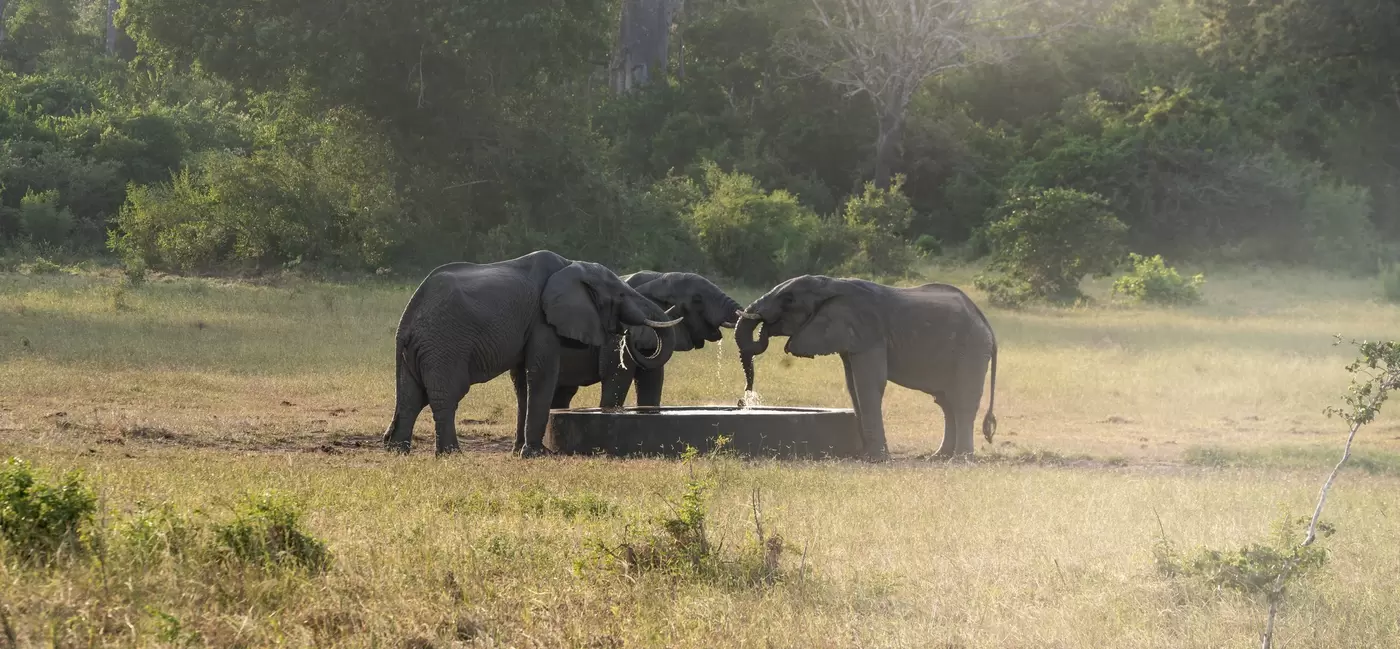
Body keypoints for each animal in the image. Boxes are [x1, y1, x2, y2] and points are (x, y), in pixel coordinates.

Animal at [382, 250, 683, 457]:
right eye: (620, 295)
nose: (627, 336)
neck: (571, 266)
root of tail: (406, 320)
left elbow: (522, 382)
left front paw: (519, 451)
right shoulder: (543, 322)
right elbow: (541, 374)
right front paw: (537, 454)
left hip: (421, 349)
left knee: (411, 397)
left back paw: (398, 451)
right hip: (444, 344)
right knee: (446, 396)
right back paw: (451, 454)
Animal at [552, 271, 743, 409]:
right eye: (697, 299)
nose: (740, 402)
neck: (657, 278)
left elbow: (652, 382)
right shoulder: (614, 339)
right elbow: (616, 380)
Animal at [733, 275, 997, 461]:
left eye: (788, 300)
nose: (743, 399)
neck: (831, 284)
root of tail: (985, 321)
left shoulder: (869, 334)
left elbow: (868, 385)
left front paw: (876, 459)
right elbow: (853, 386)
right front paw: (867, 455)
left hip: (971, 349)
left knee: (961, 401)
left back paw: (959, 460)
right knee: (945, 402)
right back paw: (938, 457)